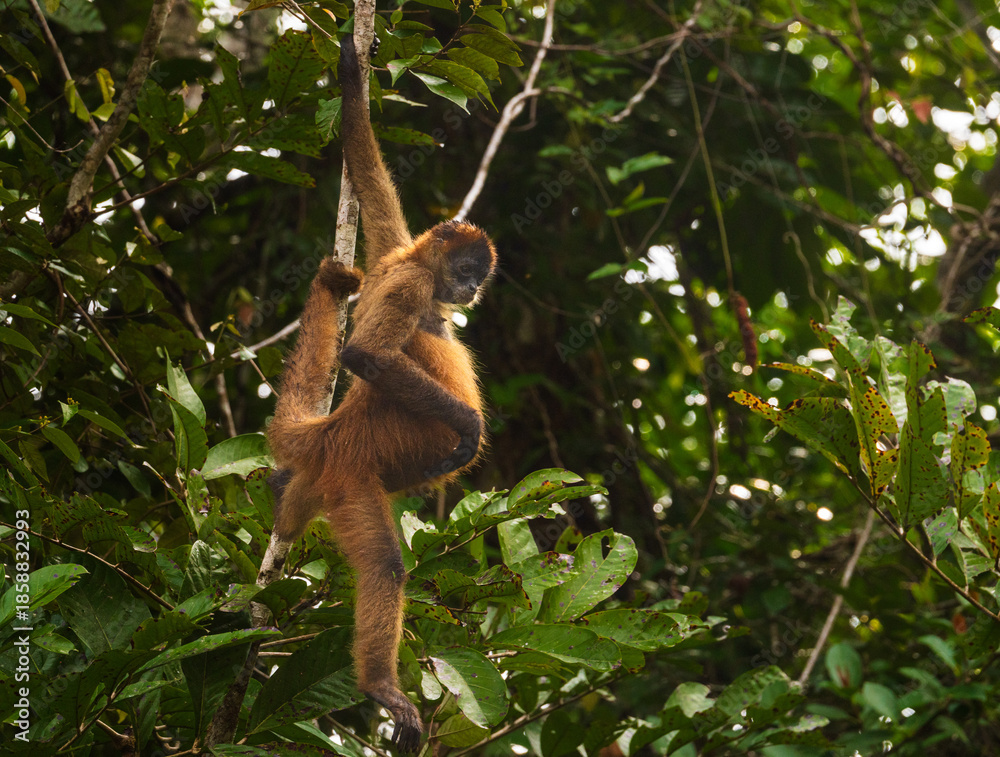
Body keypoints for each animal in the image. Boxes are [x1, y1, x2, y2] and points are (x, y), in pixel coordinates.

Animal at [265, 32, 497, 753]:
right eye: (466, 270)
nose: (470, 291)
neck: (419, 266)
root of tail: (335, 430)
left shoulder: (395, 251)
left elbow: (372, 180)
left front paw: (350, 80)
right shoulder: (408, 281)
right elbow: (366, 354)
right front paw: (468, 431)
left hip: (319, 486)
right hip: (351, 485)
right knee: (386, 568)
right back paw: (378, 686)